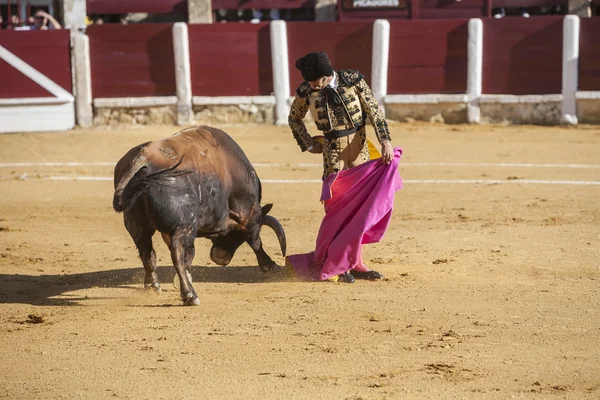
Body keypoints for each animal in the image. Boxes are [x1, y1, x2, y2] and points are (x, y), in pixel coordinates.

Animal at [115, 126, 290, 304]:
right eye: (237, 237)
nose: (221, 258)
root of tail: (142, 159)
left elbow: (189, 255)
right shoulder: (249, 216)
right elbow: (255, 241)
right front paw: (270, 264)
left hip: (137, 225)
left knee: (148, 253)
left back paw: (153, 286)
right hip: (184, 226)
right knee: (176, 253)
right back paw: (190, 295)